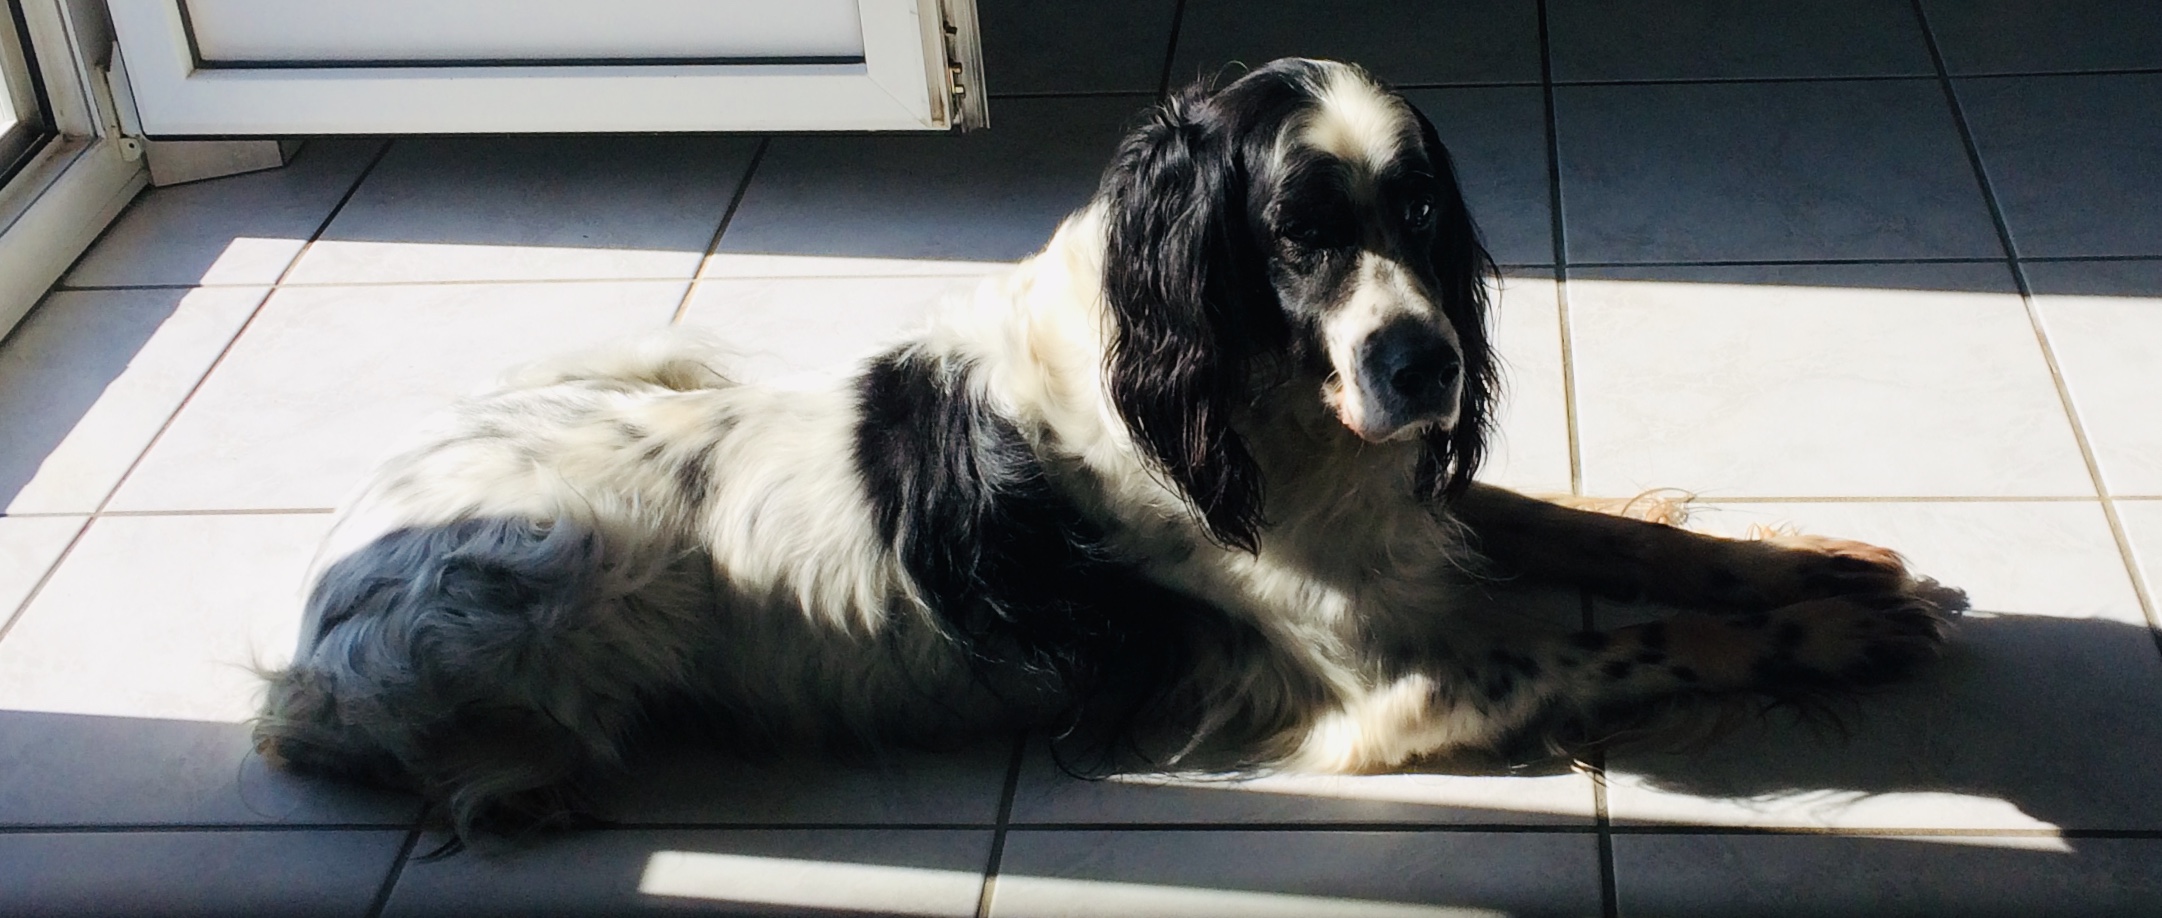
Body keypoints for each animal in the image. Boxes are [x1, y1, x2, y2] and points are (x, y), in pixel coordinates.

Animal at [255, 58, 1960, 837]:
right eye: (1295, 229)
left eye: (1418, 210)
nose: (1423, 360)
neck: (1239, 398)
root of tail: (314, 618)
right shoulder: (1376, 691)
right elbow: (1623, 643)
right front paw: (1832, 633)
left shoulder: (1412, 506)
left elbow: (1611, 536)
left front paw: (1826, 563)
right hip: (558, 583)